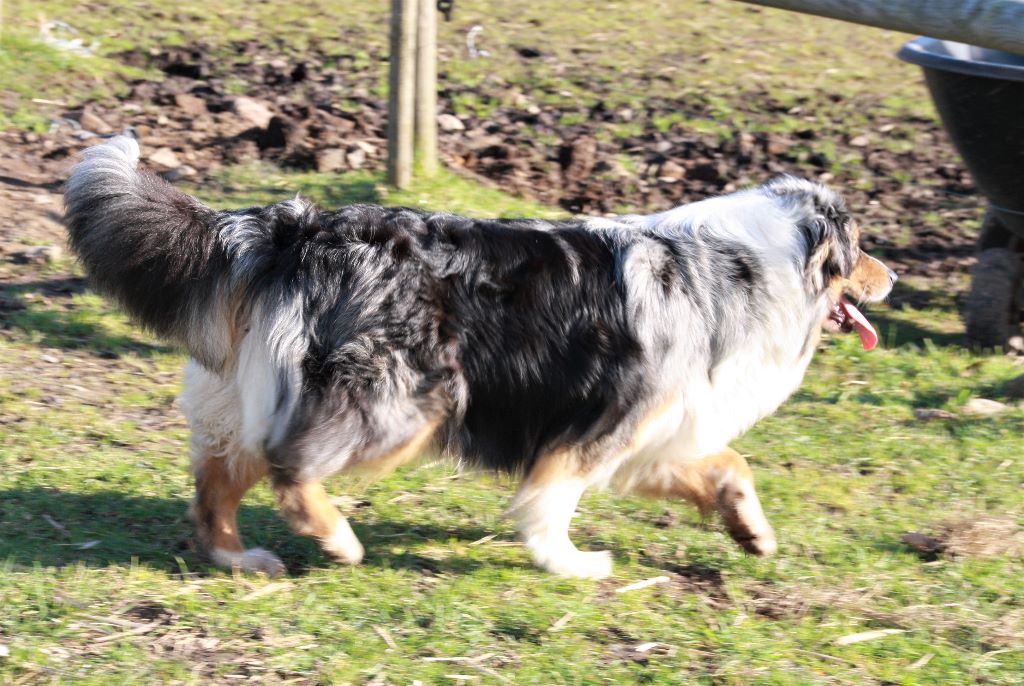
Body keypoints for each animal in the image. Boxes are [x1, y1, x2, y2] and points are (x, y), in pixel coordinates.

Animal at [64, 136, 895, 578]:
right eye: (861, 249)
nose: (891, 278)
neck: (747, 266)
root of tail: (297, 227)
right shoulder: (598, 424)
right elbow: (551, 501)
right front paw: (569, 563)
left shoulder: (655, 431)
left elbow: (728, 468)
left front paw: (753, 532)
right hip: (407, 399)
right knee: (287, 465)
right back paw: (337, 538)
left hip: (249, 392)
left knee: (216, 479)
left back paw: (238, 558)